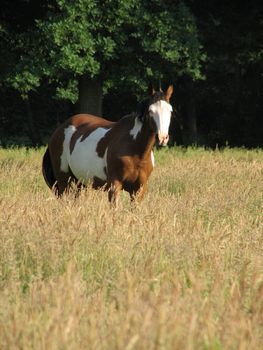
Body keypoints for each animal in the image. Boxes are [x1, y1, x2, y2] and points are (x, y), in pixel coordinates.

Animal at [42, 85, 174, 205]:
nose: (162, 138)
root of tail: (59, 130)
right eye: (151, 111)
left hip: (80, 182)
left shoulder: (139, 189)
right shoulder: (114, 185)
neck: (135, 151)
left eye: (170, 111)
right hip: (63, 180)